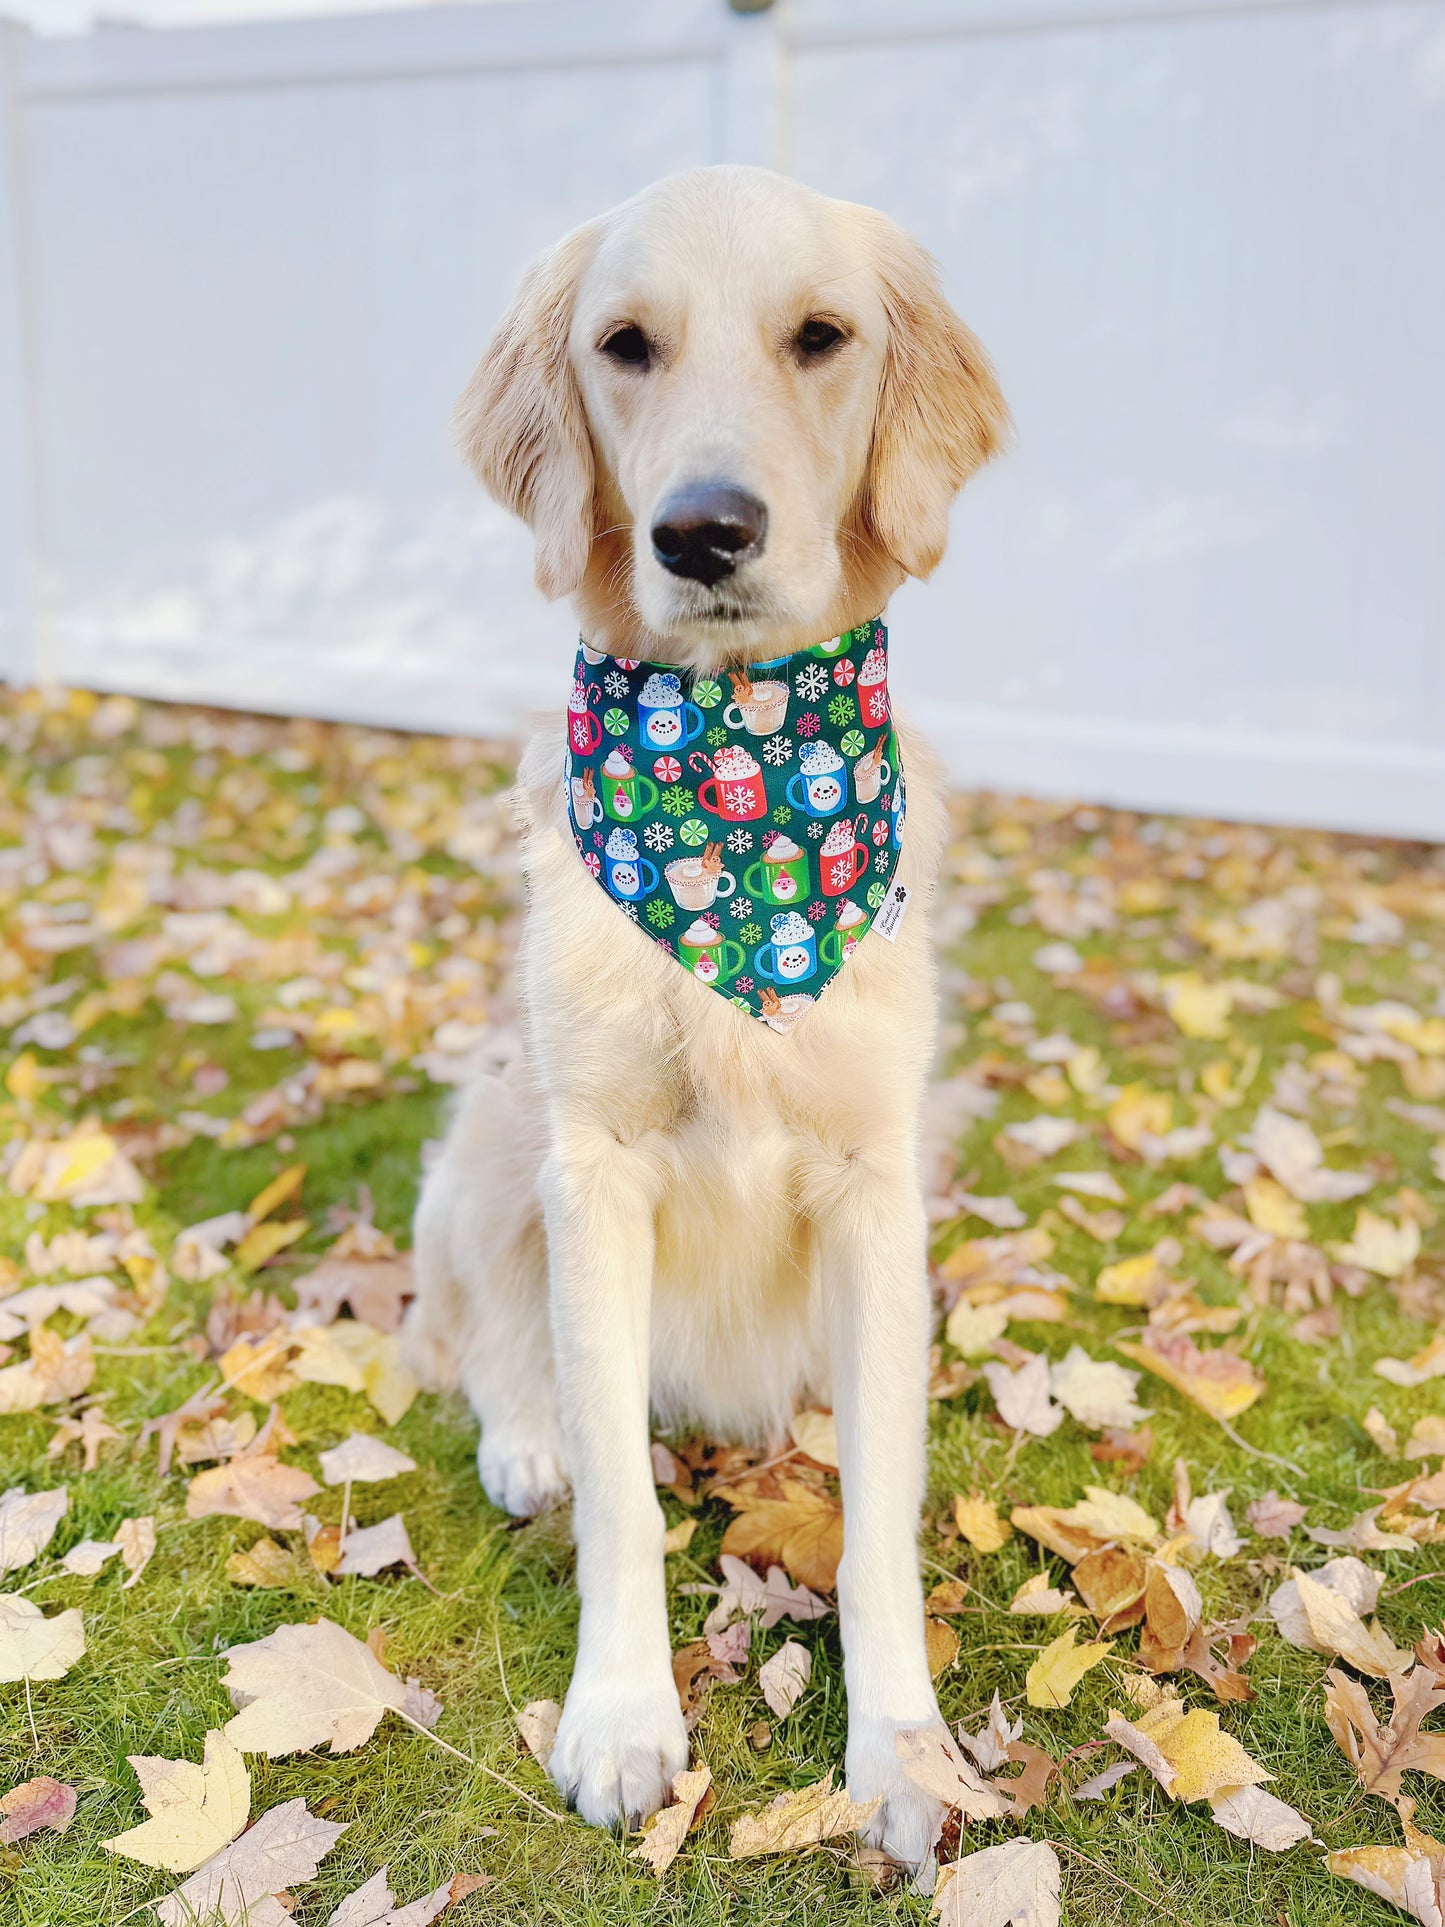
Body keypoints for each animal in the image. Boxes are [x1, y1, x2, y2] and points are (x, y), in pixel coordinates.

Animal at [398, 169, 1009, 1865]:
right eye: (625, 345)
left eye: (822, 336)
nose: (703, 529)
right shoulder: (594, 1163)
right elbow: (622, 1488)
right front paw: (620, 1716)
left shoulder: (877, 1181)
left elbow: (877, 1517)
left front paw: (901, 1746)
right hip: (495, 1129)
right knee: (489, 1338)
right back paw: (522, 1436)